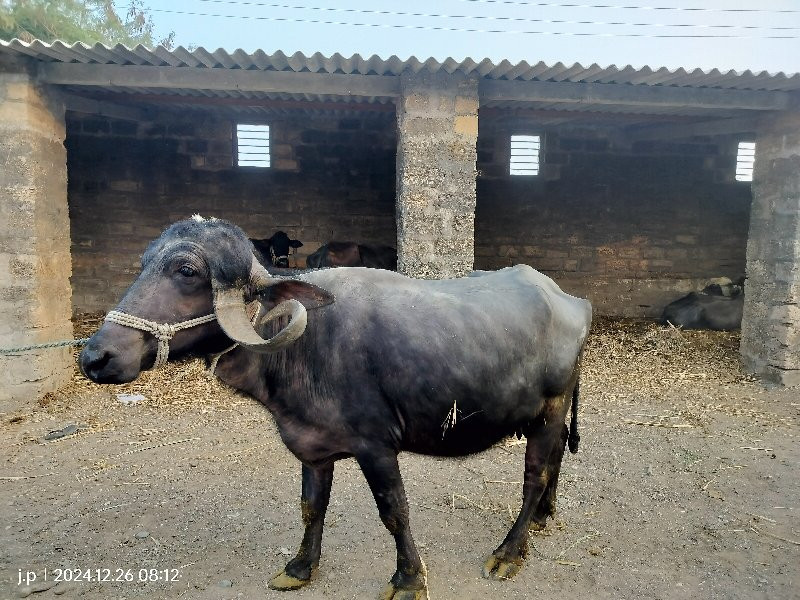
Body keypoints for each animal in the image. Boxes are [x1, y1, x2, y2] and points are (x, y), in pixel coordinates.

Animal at [79, 217, 592, 600]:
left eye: (186, 270)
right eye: (143, 264)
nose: (95, 357)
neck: (303, 345)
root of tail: (572, 302)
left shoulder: (377, 446)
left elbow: (394, 511)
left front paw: (408, 580)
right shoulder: (312, 445)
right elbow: (311, 506)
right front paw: (300, 567)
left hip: (550, 408)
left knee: (535, 475)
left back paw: (509, 551)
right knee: (556, 458)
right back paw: (543, 517)